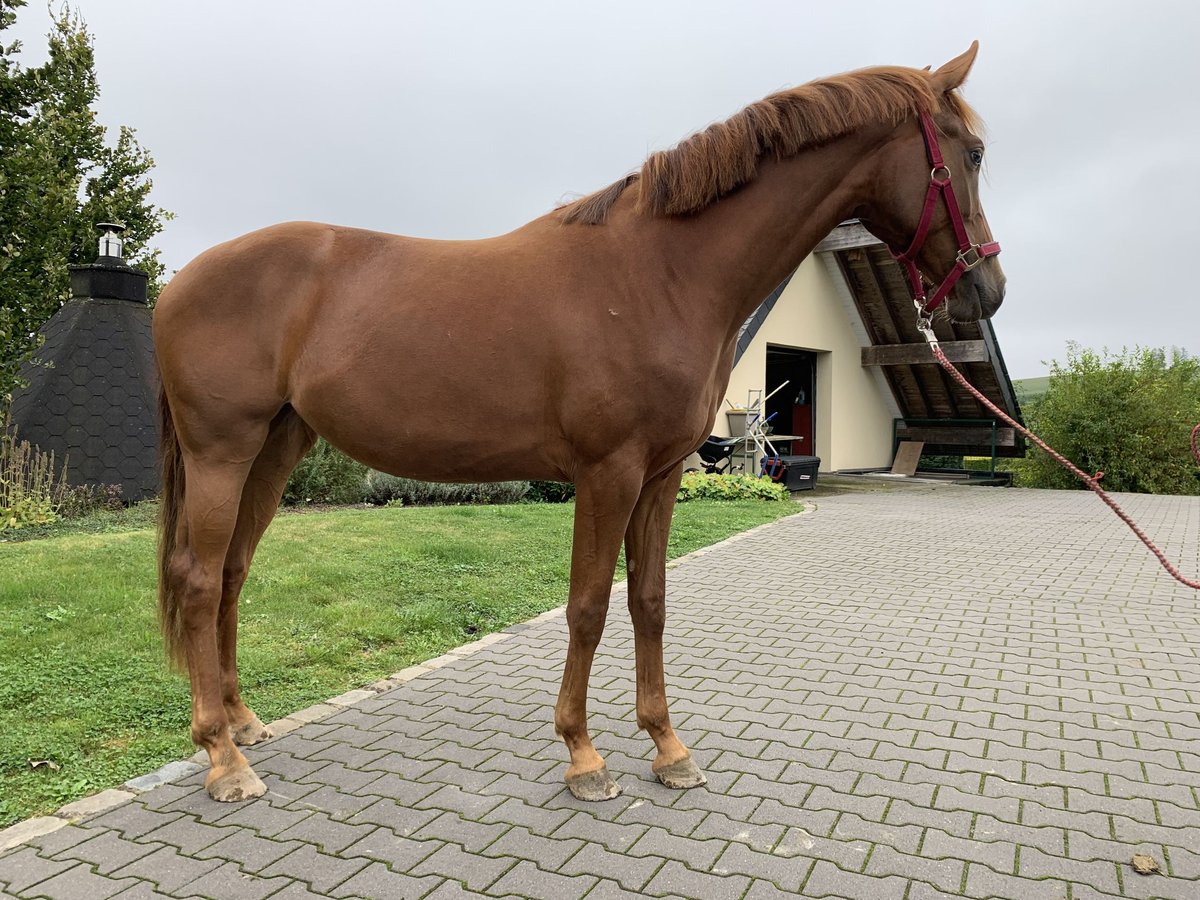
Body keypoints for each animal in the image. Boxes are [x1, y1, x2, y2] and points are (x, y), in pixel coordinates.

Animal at [154, 42, 1008, 801]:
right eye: (970, 152)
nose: (987, 290)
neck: (662, 272)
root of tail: (182, 279)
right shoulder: (609, 472)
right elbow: (590, 606)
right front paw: (583, 755)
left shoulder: (661, 475)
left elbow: (649, 603)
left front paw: (668, 747)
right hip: (222, 450)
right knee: (198, 579)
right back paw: (224, 760)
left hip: (275, 447)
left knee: (231, 573)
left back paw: (243, 722)